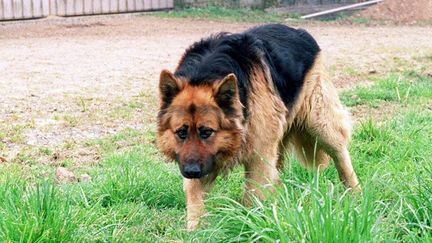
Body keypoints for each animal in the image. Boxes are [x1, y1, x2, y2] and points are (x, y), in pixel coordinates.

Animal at [157, 23, 360, 231]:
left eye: (206, 132)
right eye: (181, 133)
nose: (191, 171)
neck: (205, 75)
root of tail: (299, 31)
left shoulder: (259, 156)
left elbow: (253, 195)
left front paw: (250, 226)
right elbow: (195, 198)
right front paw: (195, 231)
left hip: (319, 122)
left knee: (340, 154)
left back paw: (355, 193)